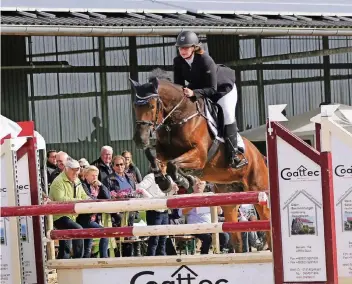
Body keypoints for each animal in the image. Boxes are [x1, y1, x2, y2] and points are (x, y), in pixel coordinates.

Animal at [131, 71, 270, 253]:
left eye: (152, 106)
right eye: (135, 106)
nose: (140, 140)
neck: (179, 117)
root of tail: (260, 156)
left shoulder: (199, 156)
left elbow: (173, 165)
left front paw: (185, 180)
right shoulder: (164, 152)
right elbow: (155, 160)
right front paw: (165, 182)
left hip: (258, 190)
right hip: (228, 198)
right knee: (237, 238)